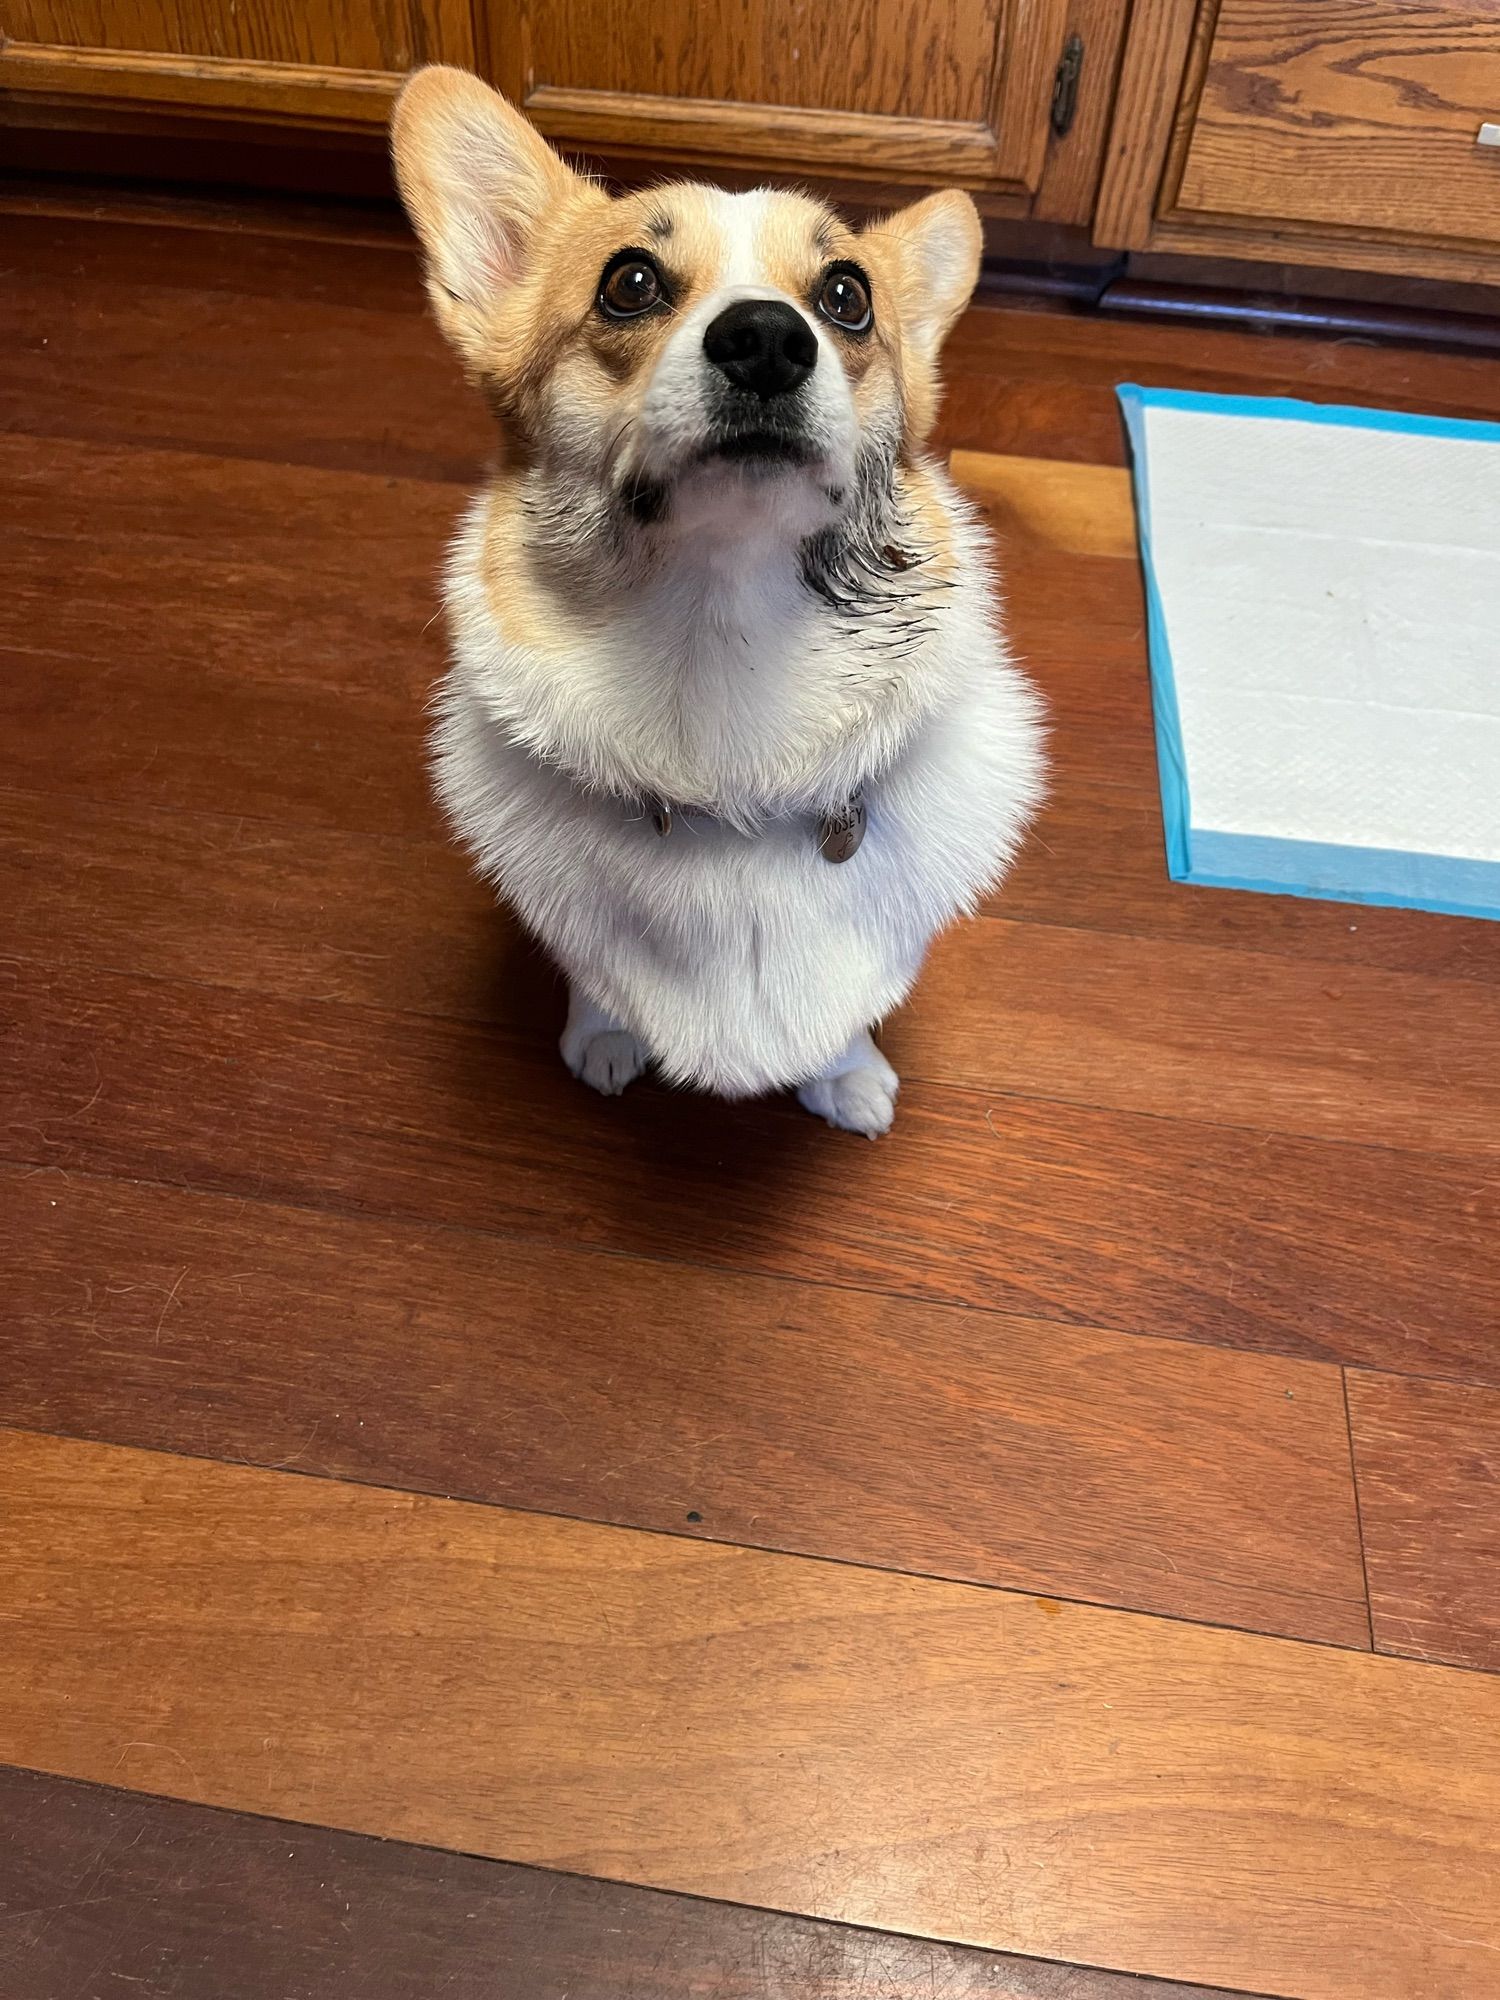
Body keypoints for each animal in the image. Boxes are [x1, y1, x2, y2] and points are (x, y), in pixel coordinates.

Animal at [390, 70, 1048, 1136]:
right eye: (630, 282)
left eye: (846, 297)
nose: (768, 340)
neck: (726, 638)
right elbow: (597, 979)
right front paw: (604, 1035)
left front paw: (847, 1075)